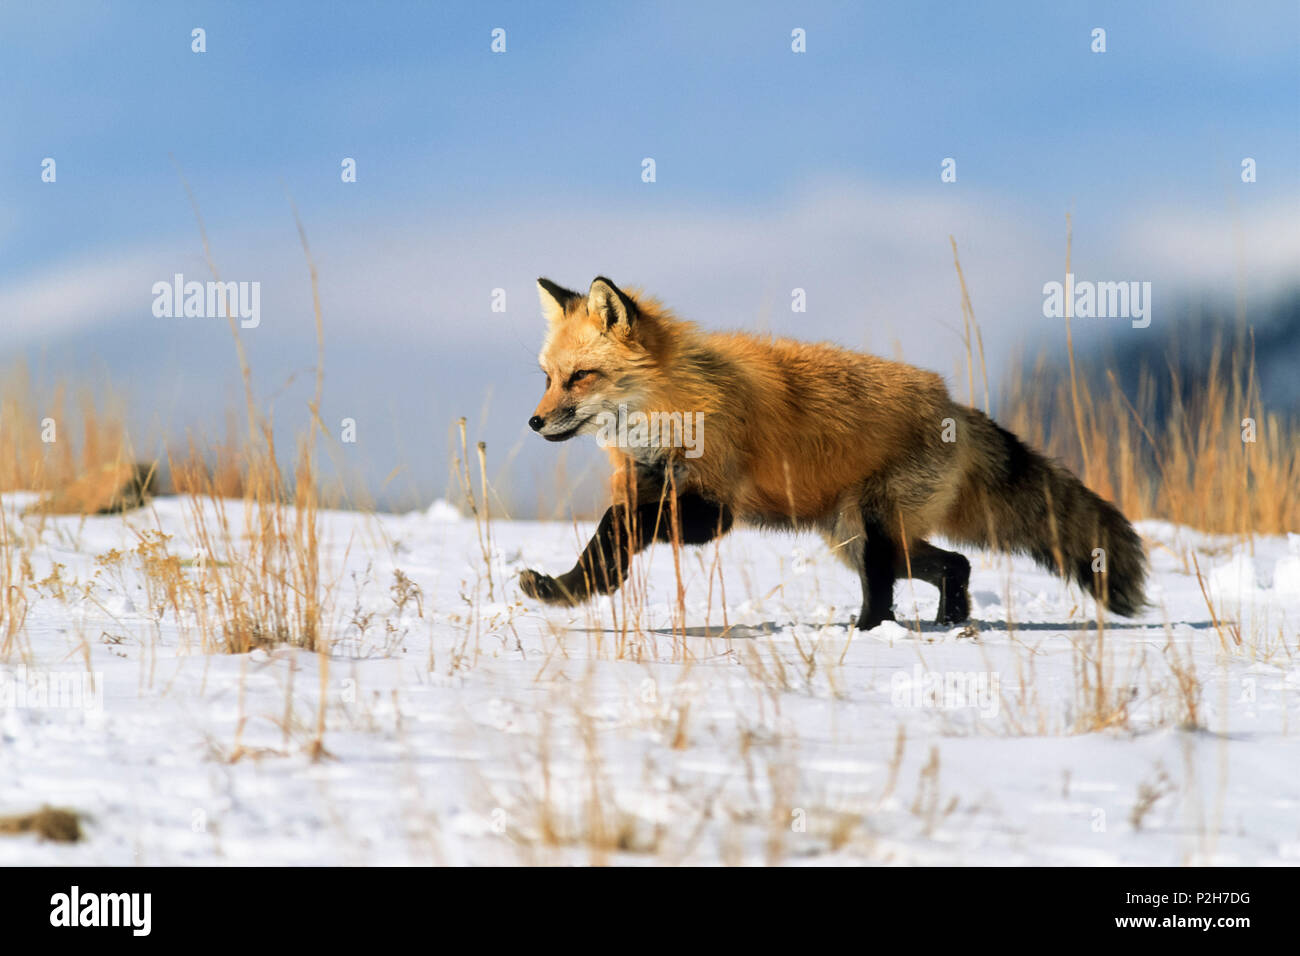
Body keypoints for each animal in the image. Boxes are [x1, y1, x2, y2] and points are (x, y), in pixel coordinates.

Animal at [517, 274, 1149, 629]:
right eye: (547, 377)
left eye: (581, 377)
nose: (534, 421)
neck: (675, 406)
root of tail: (954, 404)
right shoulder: (652, 485)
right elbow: (611, 536)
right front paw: (573, 588)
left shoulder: (713, 509)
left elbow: (618, 523)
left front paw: (579, 586)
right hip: (855, 535)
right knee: (955, 564)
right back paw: (948, 622)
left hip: (871, 529)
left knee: (890, 589)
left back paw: (869, 632)